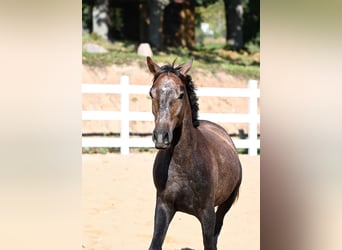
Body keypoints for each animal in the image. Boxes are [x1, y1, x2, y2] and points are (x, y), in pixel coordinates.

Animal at [146, 56, 242, 250]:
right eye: (151, 93)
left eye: (181, 94)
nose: (161, 137)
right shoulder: (163, 207)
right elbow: (155, 243)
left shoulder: (207, 214)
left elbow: (209, 242)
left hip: (225, 205)